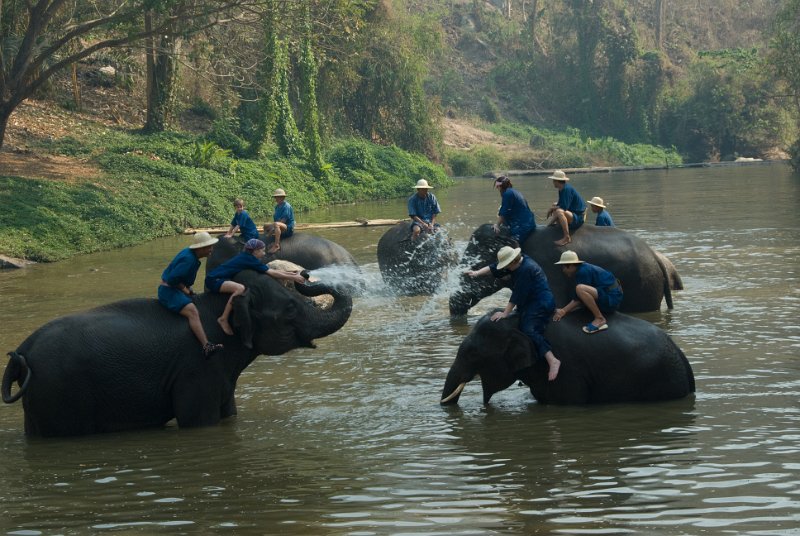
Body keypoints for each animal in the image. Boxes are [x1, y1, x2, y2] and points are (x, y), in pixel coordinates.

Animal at [0, 270, 350, 438]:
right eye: (290, 308)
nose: (304, 276)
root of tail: (20, 356)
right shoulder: (196, 368)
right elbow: (199, 422)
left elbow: (229, 414)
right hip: (61, 395)